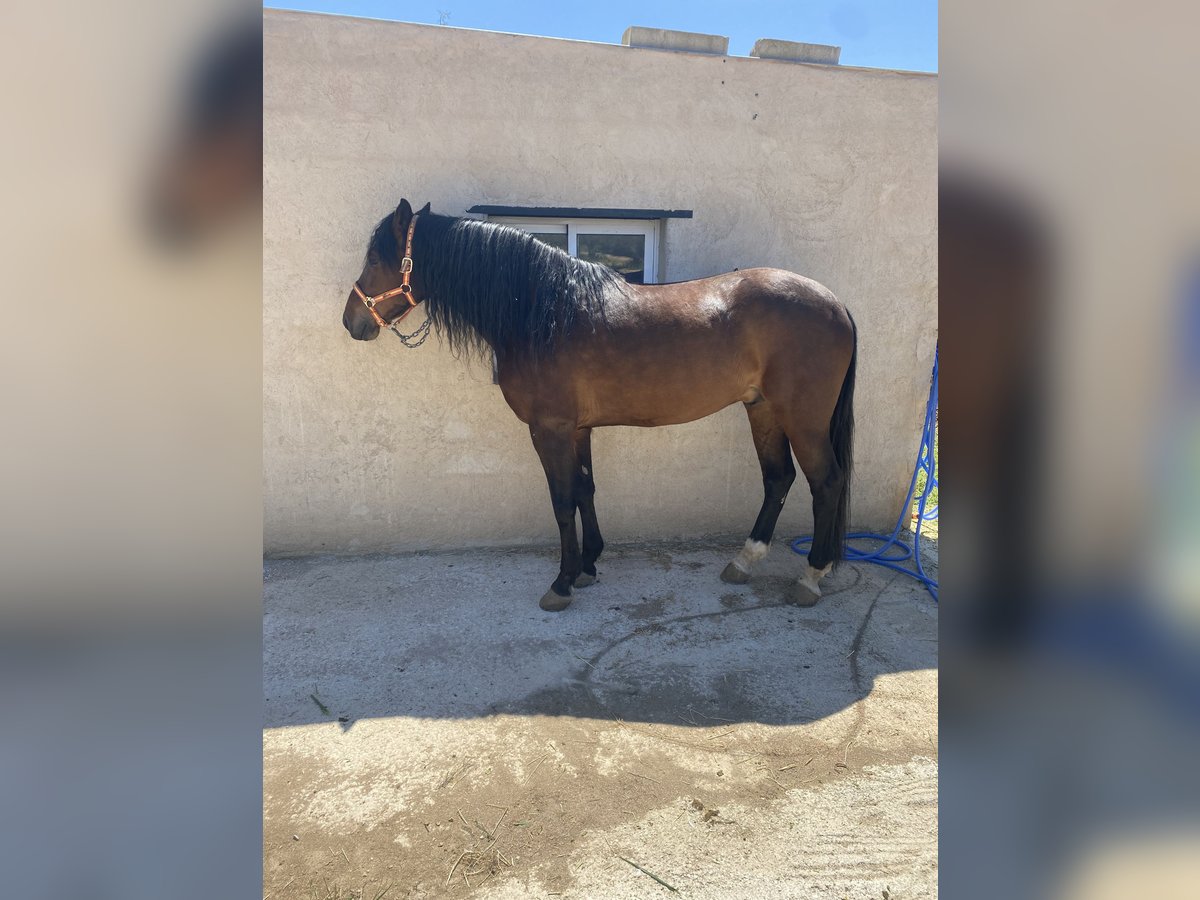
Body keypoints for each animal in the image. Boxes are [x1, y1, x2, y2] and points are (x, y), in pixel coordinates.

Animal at [343, 200, 859, 614]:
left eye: (376, 257)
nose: (351, 321)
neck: (542, 311)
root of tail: (835, 302)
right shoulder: (577, 429)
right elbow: (586, 490)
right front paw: (588, 565)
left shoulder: (549, 428)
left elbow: (561, 499)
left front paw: (562, 582)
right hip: (763, 409)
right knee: (778, 479)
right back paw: (744, 562)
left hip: (802, 418)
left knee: (826, 481)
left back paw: (811, 576)